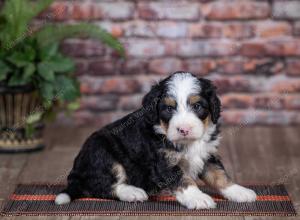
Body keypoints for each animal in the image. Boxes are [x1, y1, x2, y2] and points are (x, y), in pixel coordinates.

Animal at [55, 71, 255, 209]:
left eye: (197, 106)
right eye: (168, 108)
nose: (183, 129)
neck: (188, 143)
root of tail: (75, 173)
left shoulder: (207, 154)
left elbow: (220, 176)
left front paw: (240, 191)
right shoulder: (164, 162)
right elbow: (183, 181)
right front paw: (198, 198)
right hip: (101, 152)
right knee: (102, 185)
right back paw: (132, 192)